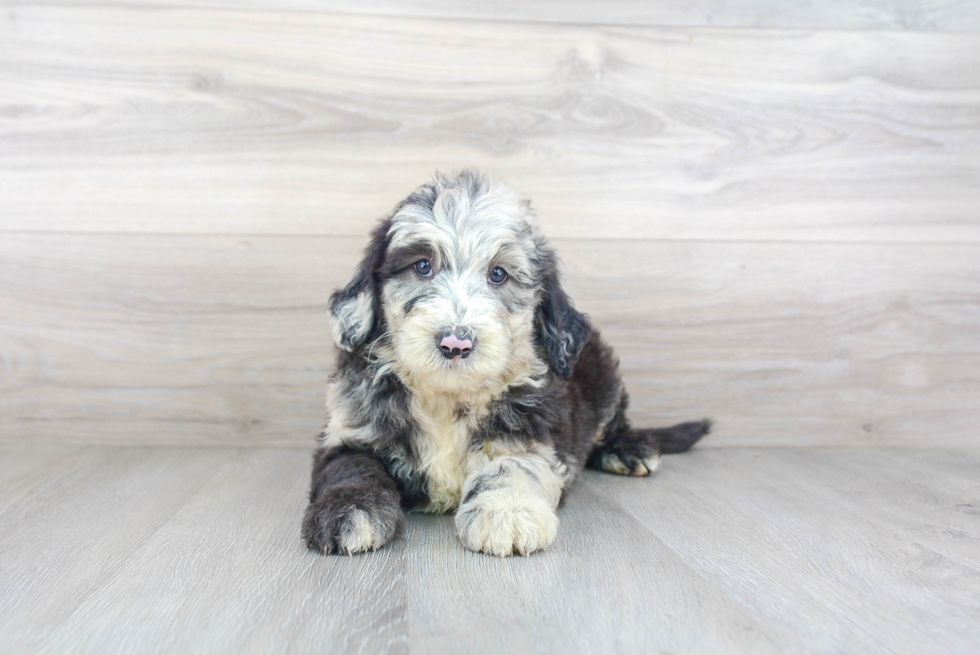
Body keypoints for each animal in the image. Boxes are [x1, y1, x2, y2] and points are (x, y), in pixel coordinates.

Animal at [302, 170, 708, 560]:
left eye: (498, 274)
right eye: (422, 266)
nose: (455, 343)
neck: (447, 398)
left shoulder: (533, 432)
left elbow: (512, 464)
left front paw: (506, 511)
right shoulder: (349, 429)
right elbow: (352, 466)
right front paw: (349, 511)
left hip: (605, 379)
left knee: (615, 422)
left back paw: (630, 449)